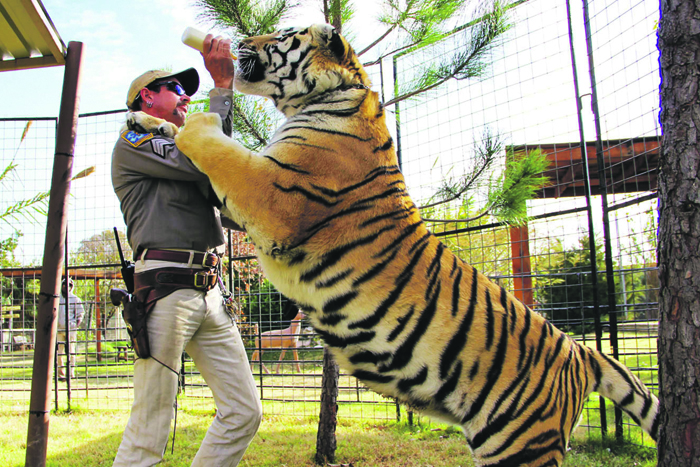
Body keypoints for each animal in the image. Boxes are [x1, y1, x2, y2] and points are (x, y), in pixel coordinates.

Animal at [133, 22, 660, 467]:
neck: (331, 96)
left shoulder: (270, 195)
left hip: (520, 444)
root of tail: (579, 351)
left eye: (281, 35)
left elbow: (215, 145)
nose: (239, 41)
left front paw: (183, 120)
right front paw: (148, 120)